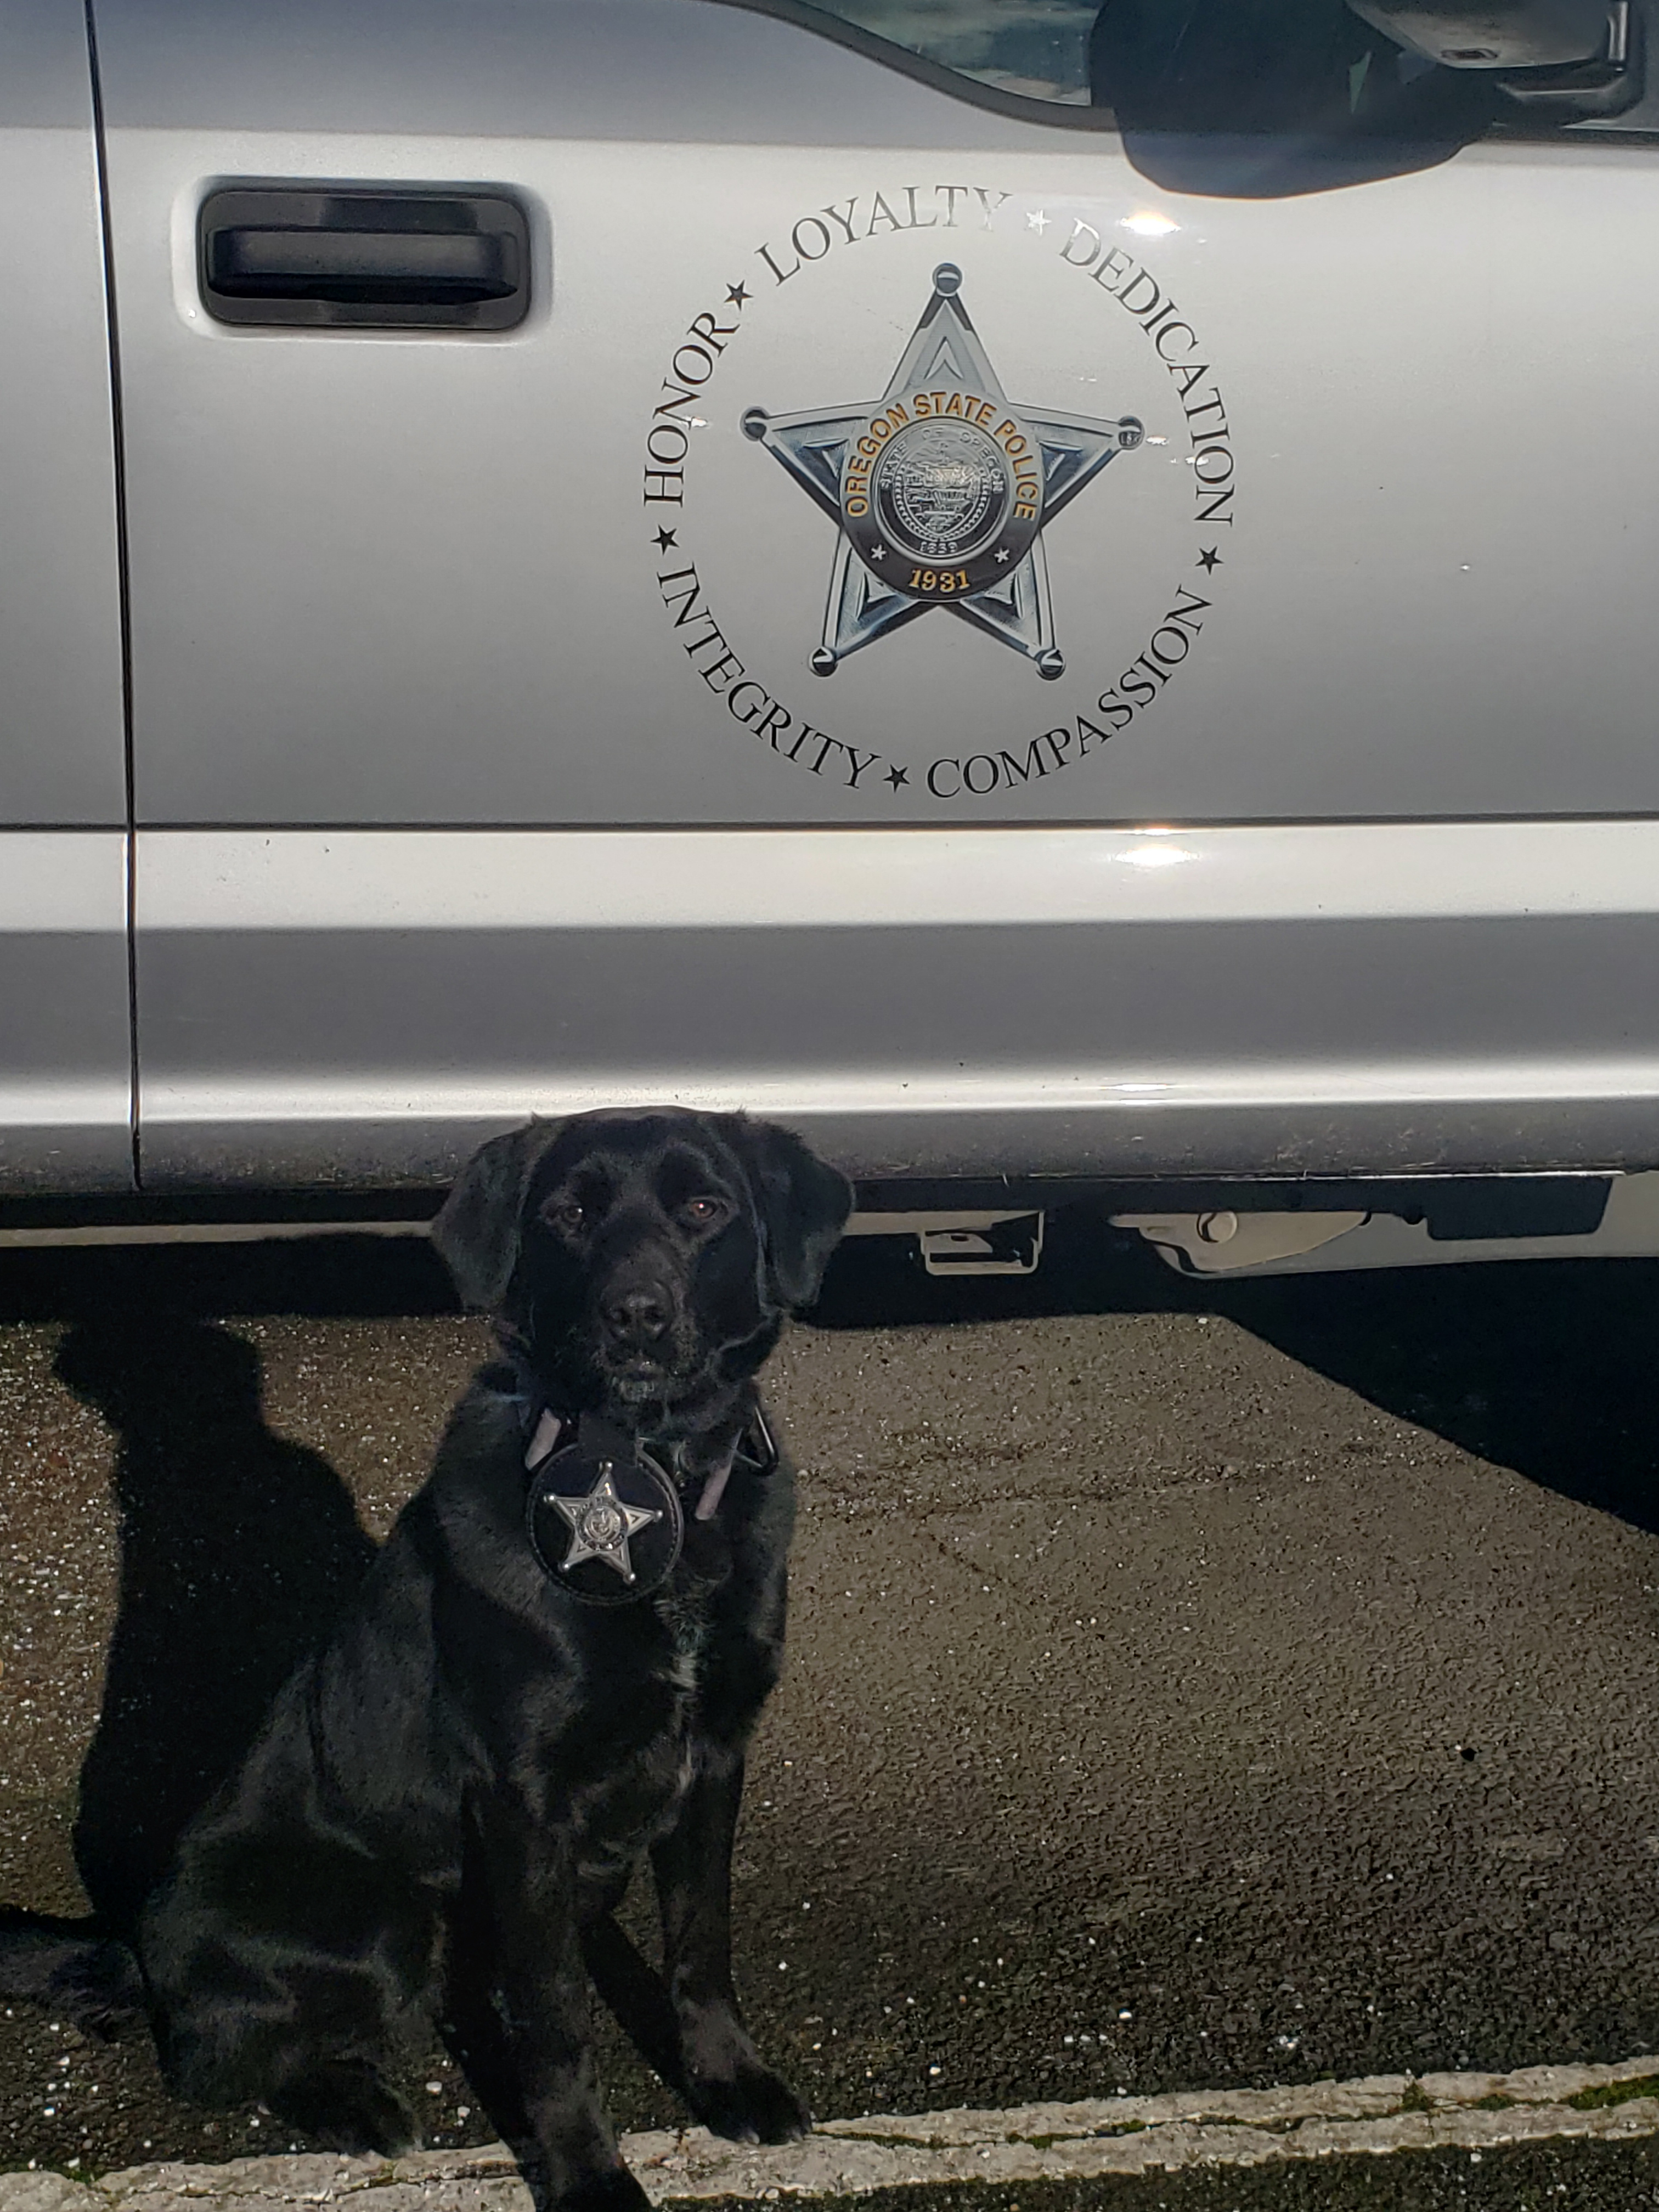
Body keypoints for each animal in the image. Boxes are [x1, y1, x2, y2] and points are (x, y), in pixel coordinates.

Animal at [0, 1115, 849, 2203]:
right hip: (385, 1920)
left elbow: (702, 1947)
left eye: (704, 1207)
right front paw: (588, 2175)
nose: (636, 1317)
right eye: (569, 1213)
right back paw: (352, 2103)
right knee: (211, 2059)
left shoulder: (713, 1760)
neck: (646, 1476)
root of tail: (140, 1951)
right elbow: (555, 2022)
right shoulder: (523, 1803)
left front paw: (728, 2080)